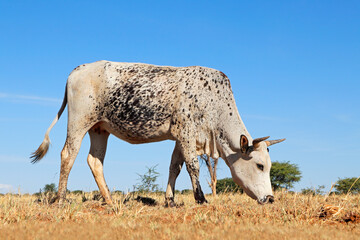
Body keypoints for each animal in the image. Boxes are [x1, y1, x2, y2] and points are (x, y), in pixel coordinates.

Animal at [30, 60, 284, 206]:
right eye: (260, 165)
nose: (271, 198)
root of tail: (76, 71)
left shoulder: (180, 138)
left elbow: (175, 167)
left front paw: (170, 200)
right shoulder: (186, 133)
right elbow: (193, 166)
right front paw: (201, 199)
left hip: (99, 129)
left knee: (95, 161)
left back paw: (109, 200)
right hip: (78, 122)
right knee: (68, 155)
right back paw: (61, 199)